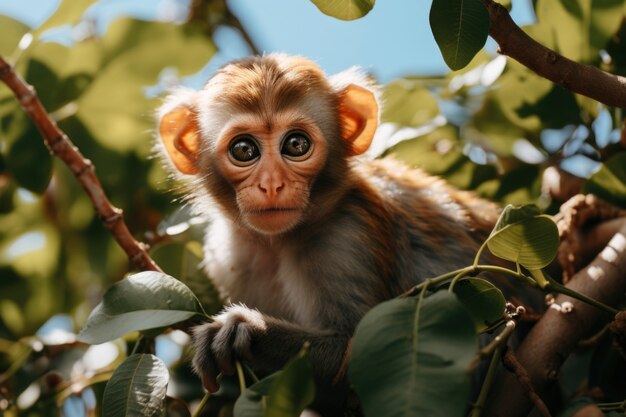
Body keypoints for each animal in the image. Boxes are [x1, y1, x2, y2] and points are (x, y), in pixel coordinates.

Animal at [155, 53, 498, 414]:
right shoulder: (226, 256)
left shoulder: (347, 235)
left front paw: (247, 331)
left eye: (296, 144)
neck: (278, 242)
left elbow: (360, 354)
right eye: (244, 150)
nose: (272, 184)